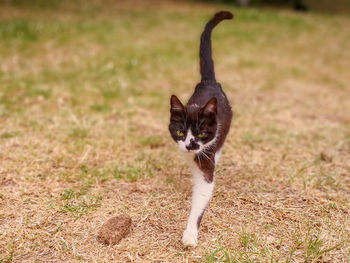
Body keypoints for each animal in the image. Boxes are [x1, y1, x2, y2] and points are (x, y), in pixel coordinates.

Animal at [169, 11, 234, 249]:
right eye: (180, 132)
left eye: (202, 133)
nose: (190, 145)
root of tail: (208, 81)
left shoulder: (206, 159)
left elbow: (202, 195)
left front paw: (190, 234)